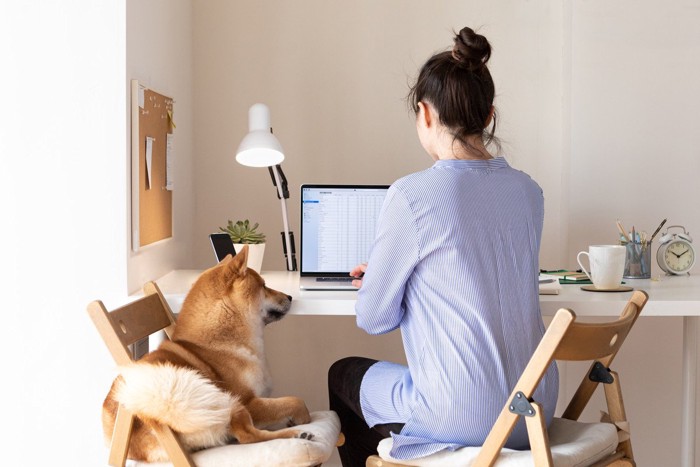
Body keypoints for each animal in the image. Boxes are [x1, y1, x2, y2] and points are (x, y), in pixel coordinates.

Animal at [100, 247, 312, 462]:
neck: (221, 341)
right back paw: (294, 434)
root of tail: (146, 412)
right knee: (248, 436)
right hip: (230, 402)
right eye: (264, 285)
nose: (290, 297)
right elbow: (295, 401)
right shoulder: (248, 400)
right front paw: (303, 418)